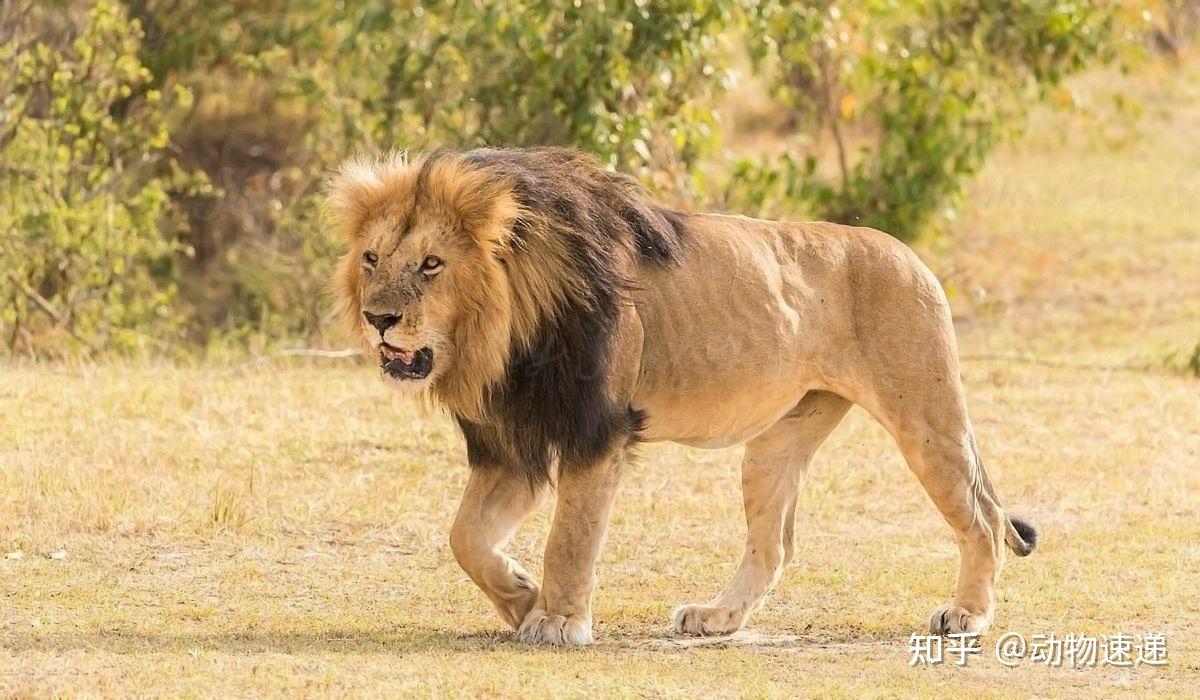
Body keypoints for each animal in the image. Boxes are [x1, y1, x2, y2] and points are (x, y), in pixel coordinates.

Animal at [324, 146, 1036, 648]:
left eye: (431, 264)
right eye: (371, 258)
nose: (378, 318)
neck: (502, 333)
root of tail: (904, 250)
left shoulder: (596, 430)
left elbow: (569, 538)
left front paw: (558, 621)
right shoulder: (512, 443)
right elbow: (465, 537)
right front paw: (524, 597)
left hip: (926, 417)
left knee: (981, 519)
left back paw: (967, 615)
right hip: (778, 442)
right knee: (774, 545)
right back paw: (716, 617)